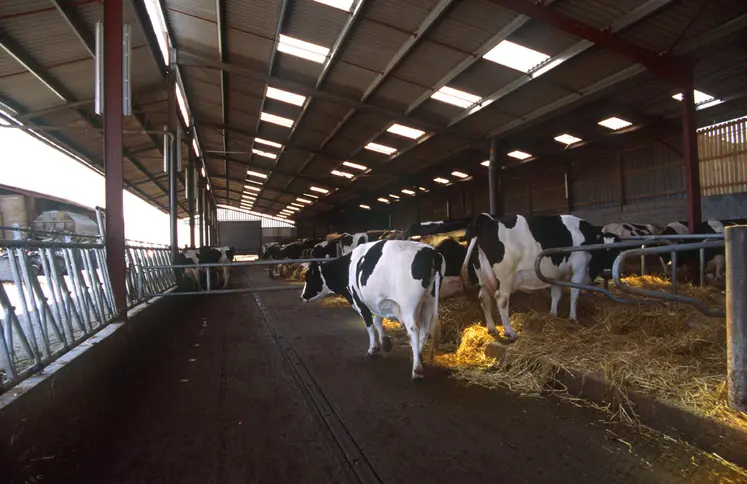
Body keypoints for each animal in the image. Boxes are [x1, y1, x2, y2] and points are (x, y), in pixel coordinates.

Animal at [302, 240, 448, 380]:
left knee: (414, 331)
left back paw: (417, 370)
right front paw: (385, 343)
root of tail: (431, 252)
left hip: (409, 306)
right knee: (425, 331)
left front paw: (372, 349)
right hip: (428, 302)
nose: (302, 296)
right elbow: (377, 321)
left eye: (308, 277)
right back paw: (419, 357)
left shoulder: (360, 302)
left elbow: (370, 326)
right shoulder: (379, 302)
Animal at [462, 214, 620, 342]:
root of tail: (487, 220)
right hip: (505, 276)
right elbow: (575, 293)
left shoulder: (556, 275)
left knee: (484, 298)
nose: (609, 273)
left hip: (483, 276)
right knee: (501, 299)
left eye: (616, 248)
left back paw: (492, 328)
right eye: (610, 251)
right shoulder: (579, 268)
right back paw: (510, 333)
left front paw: (553, 315)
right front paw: (573, 318)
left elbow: (556, 294)